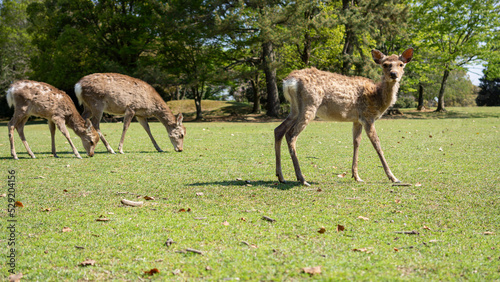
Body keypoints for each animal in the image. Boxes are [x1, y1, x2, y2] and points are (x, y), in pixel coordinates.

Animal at [274, 47, 414, 186]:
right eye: (385, 64)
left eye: (401, 64)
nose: (393, 74)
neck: (377, 98)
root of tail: (289, 82)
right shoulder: (368, 117)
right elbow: (377, 144)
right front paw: (393, 177)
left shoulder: (357, 119)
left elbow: (356, 142)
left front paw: (356, 176)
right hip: (310, 105)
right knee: (291, 134)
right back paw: (302, 179)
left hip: (295, 109)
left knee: (279, 129)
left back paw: (281, 176)